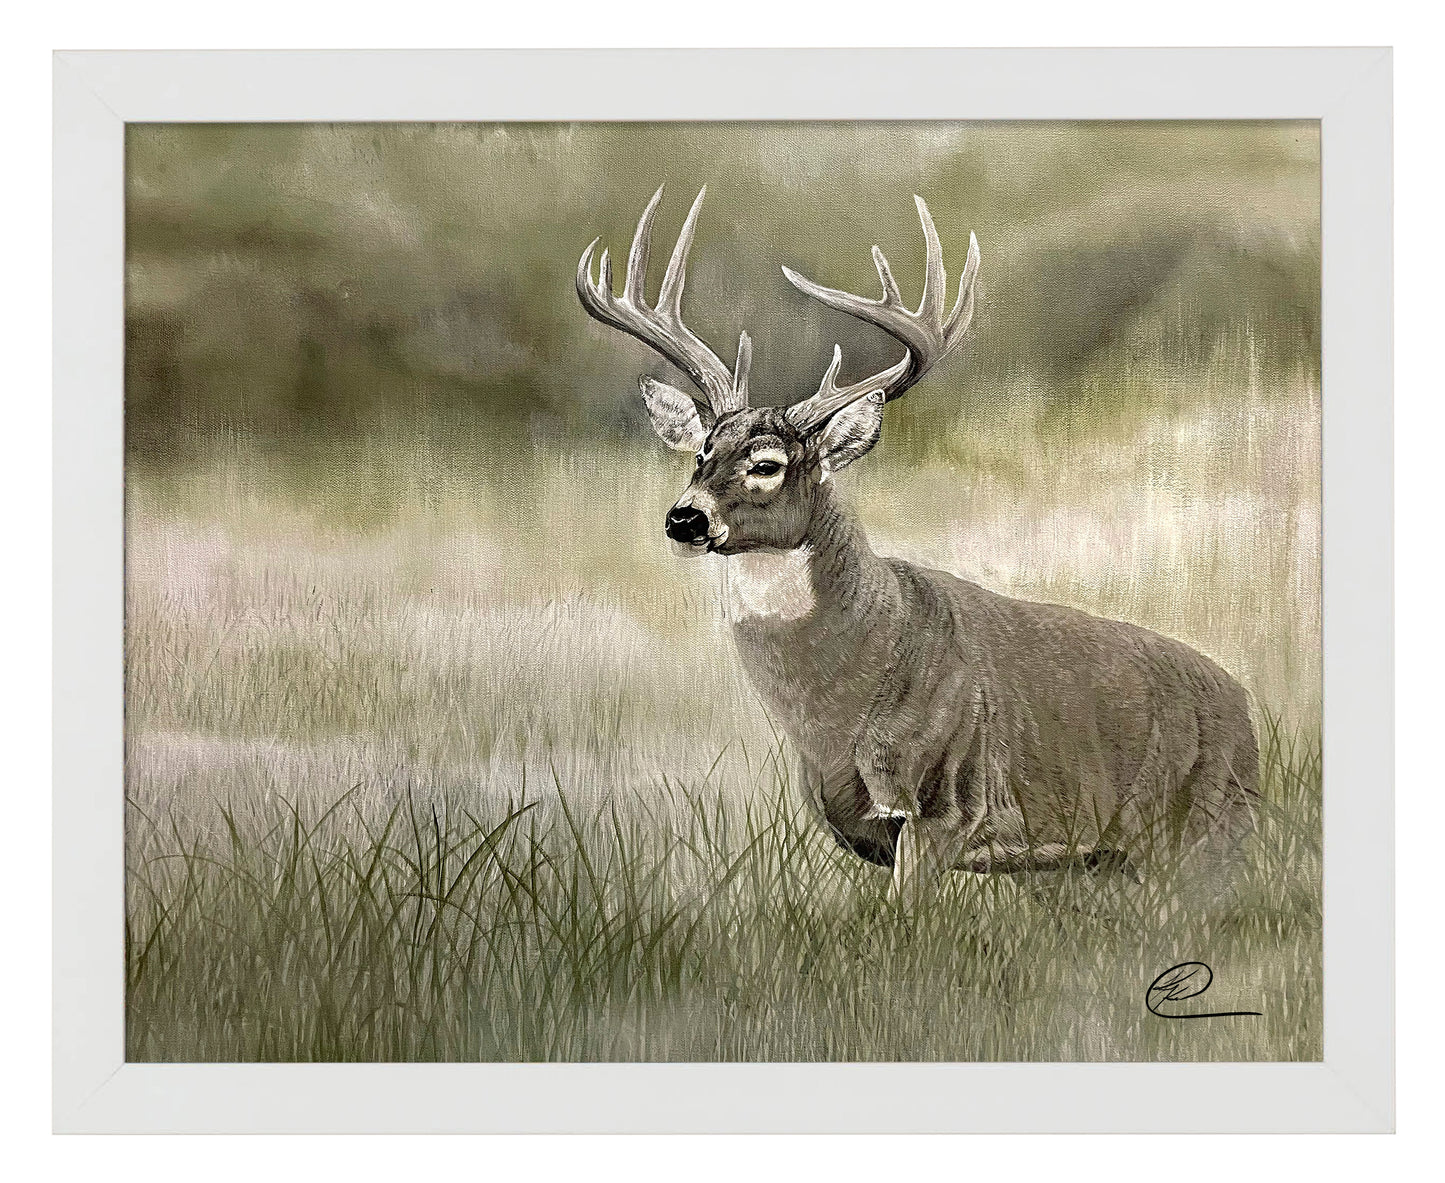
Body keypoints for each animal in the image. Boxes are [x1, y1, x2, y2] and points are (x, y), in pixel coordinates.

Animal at [577, 185, 1259, 906]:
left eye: (766, 463)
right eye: (700, 454)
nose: (684, 519)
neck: (837, 710)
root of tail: (1245, 708)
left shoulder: (946, 803)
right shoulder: (864, 829)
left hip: (1211, 829)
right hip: (1099, 859)